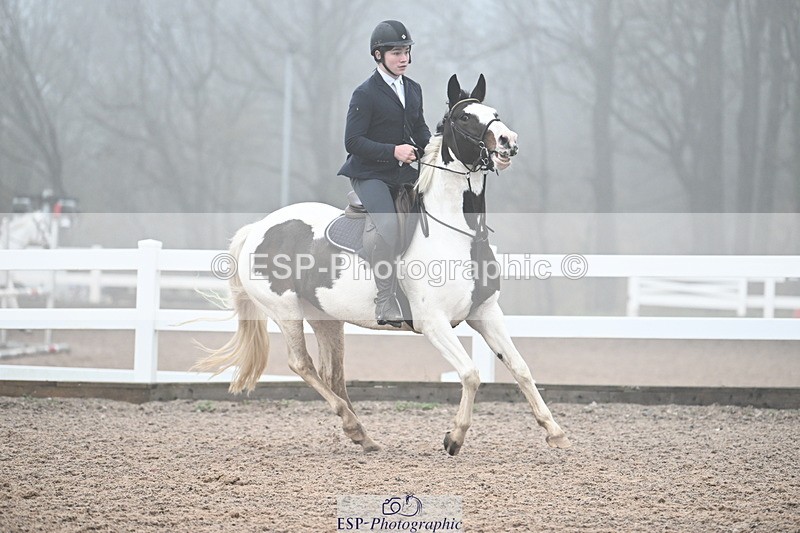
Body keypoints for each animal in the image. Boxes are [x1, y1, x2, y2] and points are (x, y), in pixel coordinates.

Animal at [195, 74, 571, 455]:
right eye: (465, 118)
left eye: (494, 113)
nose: (509, 142)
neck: (459, 233)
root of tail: (257, 228)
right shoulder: (434, 322)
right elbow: (470, 373)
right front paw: (455, 436)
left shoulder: (485, 313)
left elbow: (520, 368)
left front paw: (555, 432)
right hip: (285, 310)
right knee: (301, 364)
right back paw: (353, 425)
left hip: (325, 317)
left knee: (333, 373)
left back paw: (362, 434)